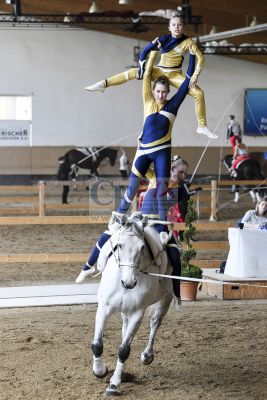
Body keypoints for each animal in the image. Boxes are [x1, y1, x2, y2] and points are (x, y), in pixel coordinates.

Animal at [92, 214, 175, 396]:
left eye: (142, 247)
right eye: (119, 245)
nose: (129, 283)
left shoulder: (137, 313)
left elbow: (124, 350)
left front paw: (114, 384)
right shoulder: (104, 308)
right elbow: (97, 344)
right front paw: (100, 370)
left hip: (165, 299)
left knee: (155, 322)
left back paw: (147, 356)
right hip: (125, 311)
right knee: (125, 330)